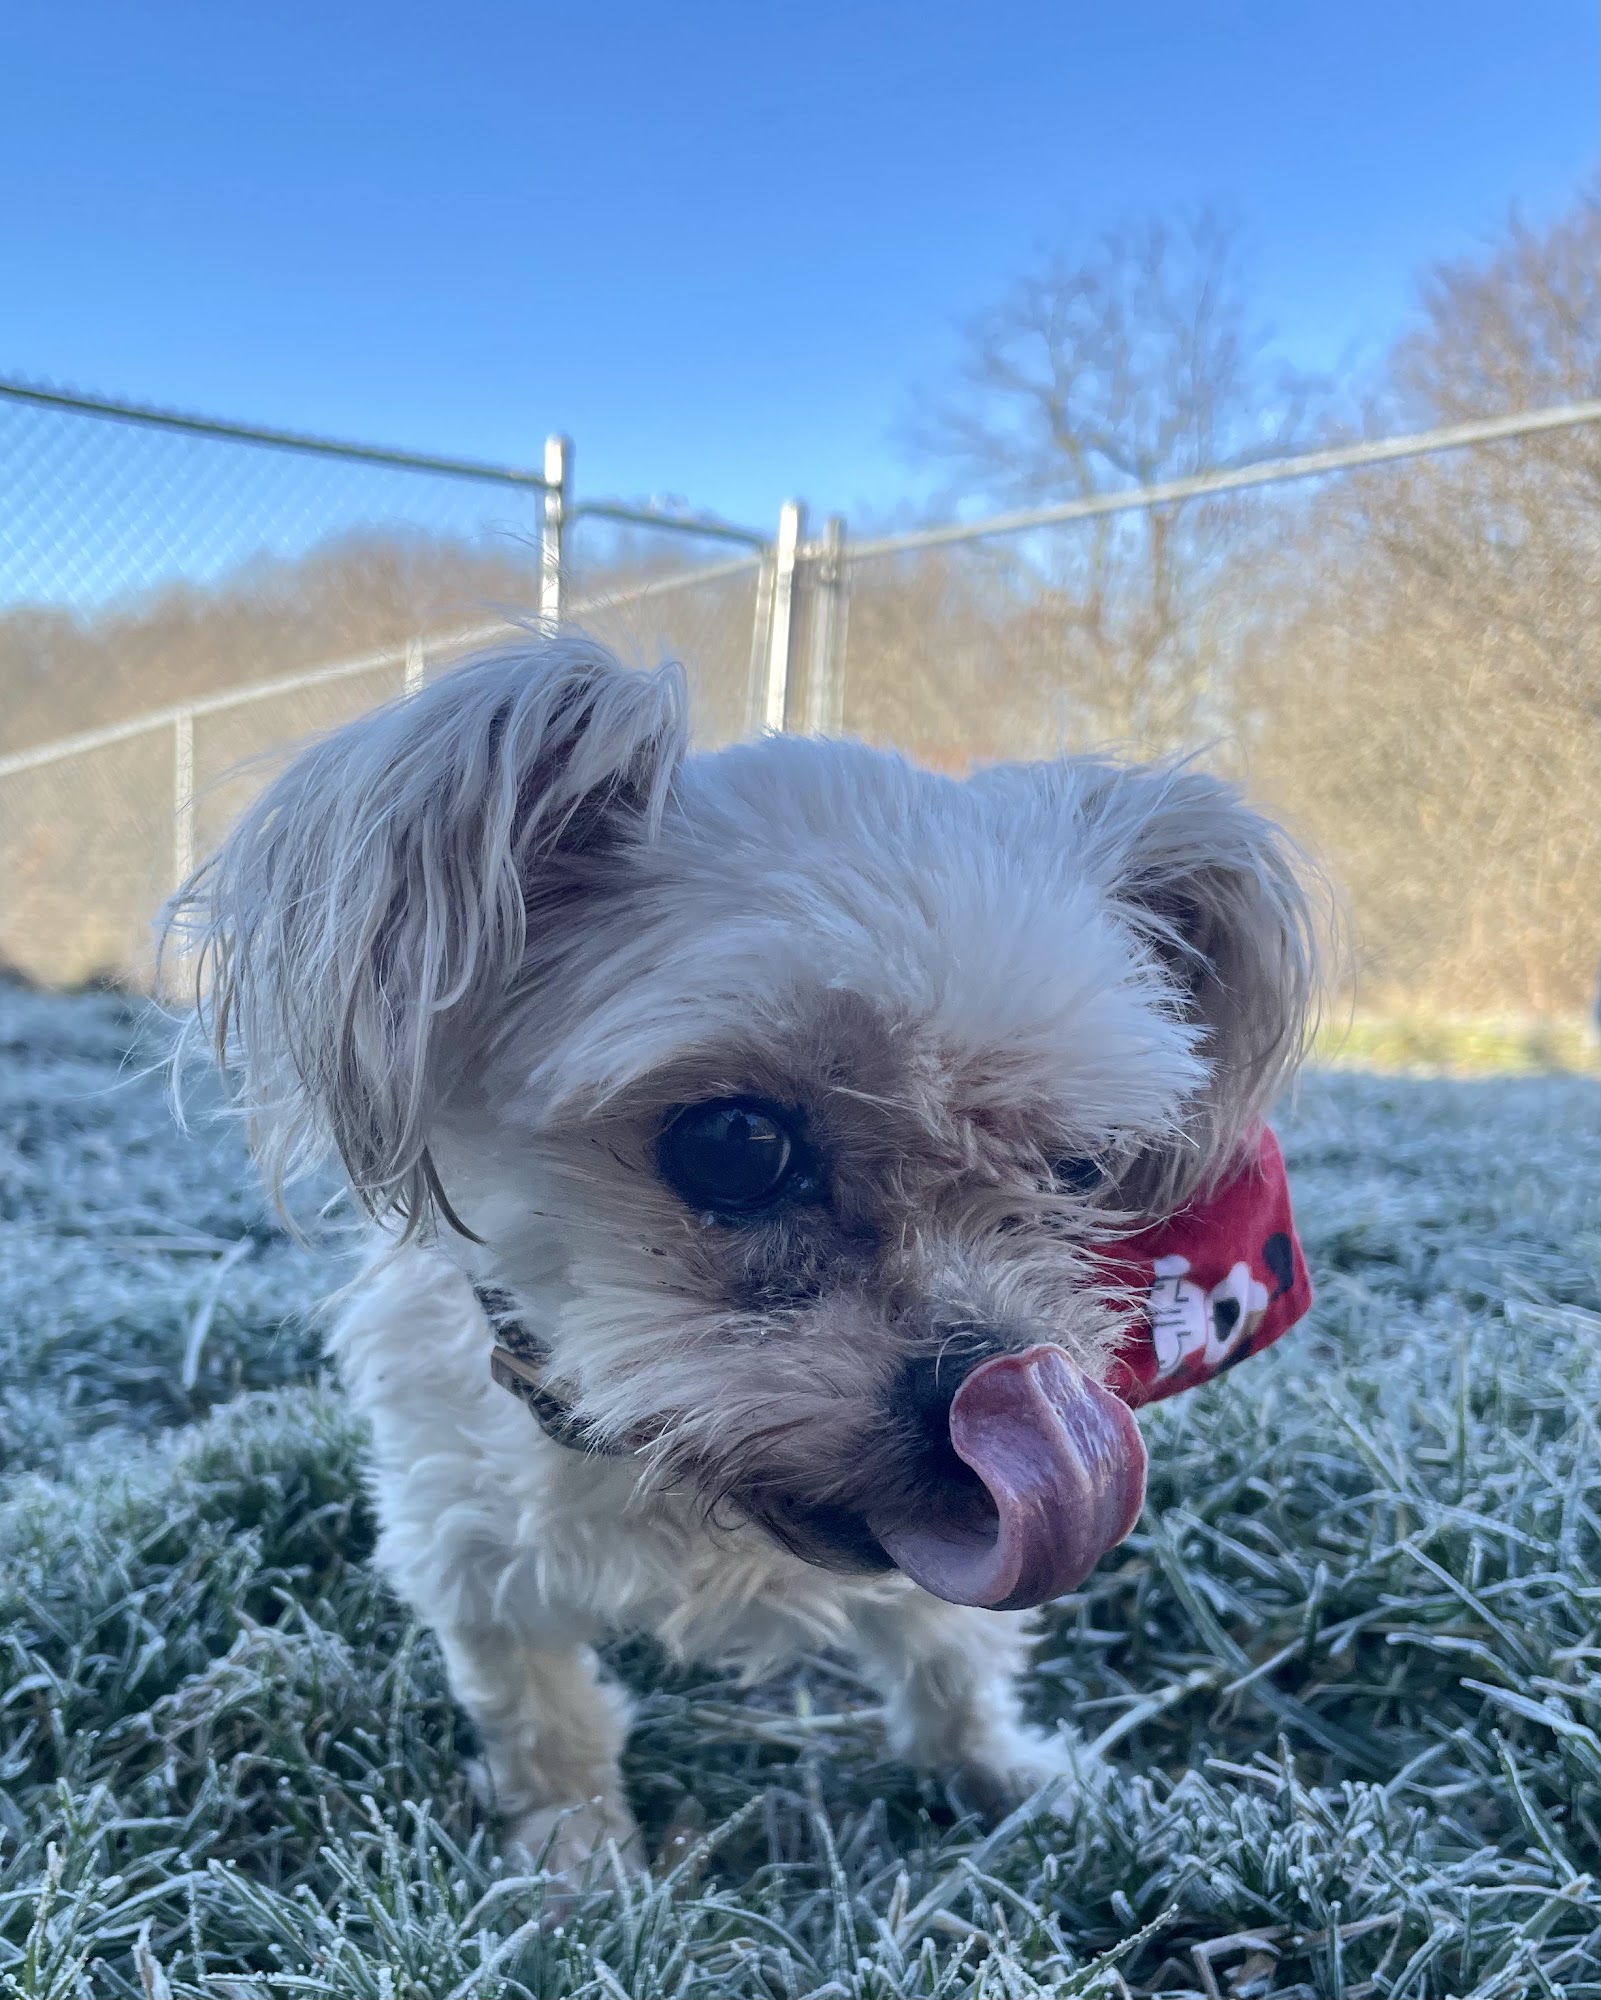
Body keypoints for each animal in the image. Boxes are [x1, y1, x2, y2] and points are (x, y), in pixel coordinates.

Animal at [178, 640, 1312, 1872]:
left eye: (1083, 1169)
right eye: (734, 1144)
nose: (993, 1392)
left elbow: (954, 1657)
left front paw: (1003, 1773)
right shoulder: (468, 1544)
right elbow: (542, 1716)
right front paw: (578, 1868)